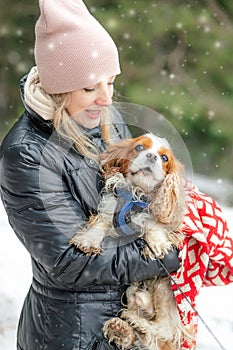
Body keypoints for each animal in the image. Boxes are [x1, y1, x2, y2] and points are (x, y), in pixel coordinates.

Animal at [71, 133, 191, 348]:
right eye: (140, 148)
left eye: (164, 158)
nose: (152, 156)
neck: (135, 197)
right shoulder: (110, 210)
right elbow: (100, 224)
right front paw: (89, 240)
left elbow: (154, 223)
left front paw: (157, 243)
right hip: (134, 292)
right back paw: (121, 328)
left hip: (165, 287)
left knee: (165, 329)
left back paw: (135, 322)